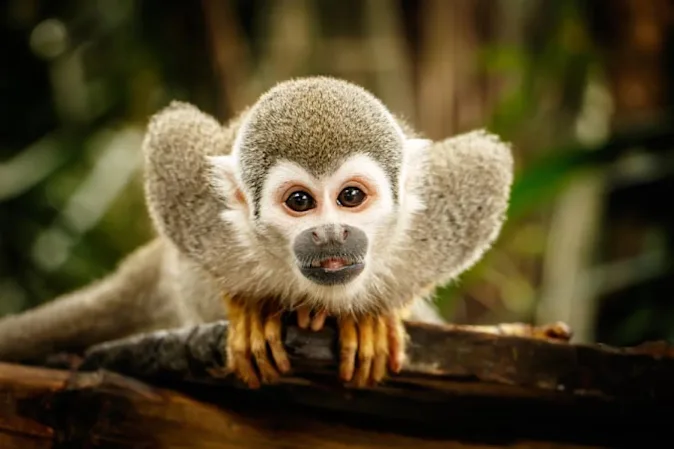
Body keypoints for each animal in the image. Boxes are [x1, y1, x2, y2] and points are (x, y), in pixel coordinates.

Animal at [0, 76, 513, 389]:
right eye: (300, 202)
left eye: (350, 196)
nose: (330, 234)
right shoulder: (199, 214)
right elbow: (173, 133)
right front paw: (247, 306)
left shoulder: (439, 218)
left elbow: (487, 164)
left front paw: (376, 315)